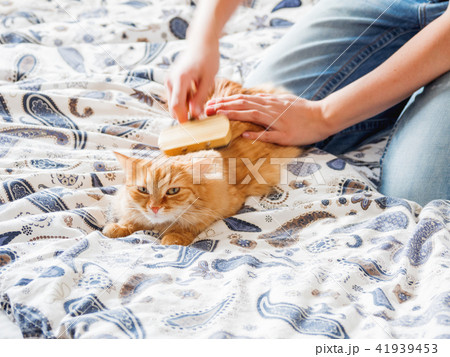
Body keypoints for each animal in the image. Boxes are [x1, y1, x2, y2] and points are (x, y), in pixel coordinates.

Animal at [101, 78, 298, 245]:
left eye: (173, 191)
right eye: (143, 190)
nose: (154, 208)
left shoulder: (225, 206)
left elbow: (190, 226)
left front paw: (174, 238)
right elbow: (130, 219)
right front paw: (118, 228)